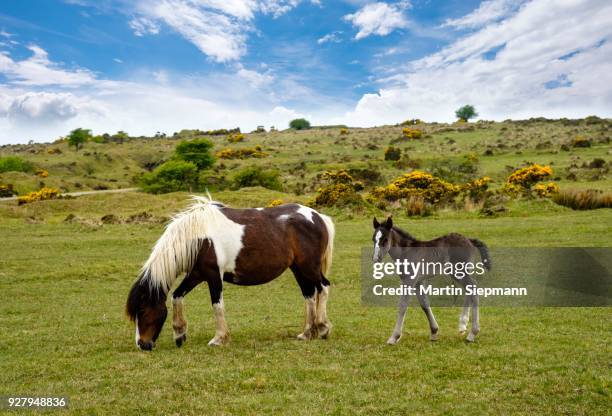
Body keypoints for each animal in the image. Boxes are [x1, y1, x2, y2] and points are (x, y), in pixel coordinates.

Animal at [125, 197, 334, 350]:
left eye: (142, 310)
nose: (142, 344)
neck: (200, 238)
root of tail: (318, 216)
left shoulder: (213, 275)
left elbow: (217, 306)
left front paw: (219, 339)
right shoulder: (196, 274)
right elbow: (176, 296)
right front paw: (179, 334)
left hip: (309, 267)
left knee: (323, 287)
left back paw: (323, 328)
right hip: (298, 269)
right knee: (309, 294)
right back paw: (307, 333)